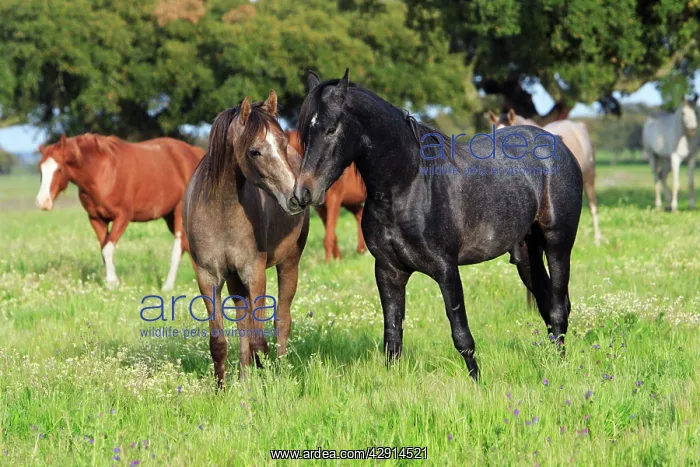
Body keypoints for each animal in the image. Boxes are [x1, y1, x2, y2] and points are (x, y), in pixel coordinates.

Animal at [35, 133, 204, 290]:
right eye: (40, 169)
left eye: (59, 168)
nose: (42, 202)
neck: (102, 172)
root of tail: (196, 153)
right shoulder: (96, 219)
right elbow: (104, 249)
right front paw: (113, 281)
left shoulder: (123, 216)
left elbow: (108, 249)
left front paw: (112, 283)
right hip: (170, 217)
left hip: (178, 213)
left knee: (178, 248)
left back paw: (168, 286)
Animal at [183, 90, 309, 386]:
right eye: (254, 151)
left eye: (283, 143)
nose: (297, 197)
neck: (221, 209)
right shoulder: (208, 277)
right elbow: (220, 341)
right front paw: (222, 388)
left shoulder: (254, 272)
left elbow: (259, 338)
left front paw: (262, 379)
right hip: (234, 280)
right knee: (243, 325)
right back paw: (244, 377)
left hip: (289, 263)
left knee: (281, 321)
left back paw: (280, 371)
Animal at [286, 129, 366, 262]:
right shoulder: (320, 207)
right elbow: (332, 234)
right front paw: (338, 260)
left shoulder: (334, 200)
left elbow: (329, 236)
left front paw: (329, 263)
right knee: (359, 215)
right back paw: (361, 251)